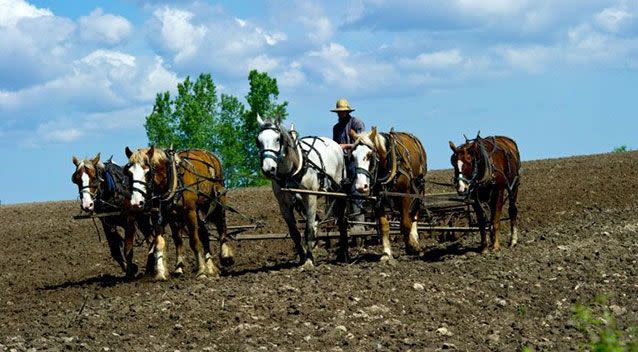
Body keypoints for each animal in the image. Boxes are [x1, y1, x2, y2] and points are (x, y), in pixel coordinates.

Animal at [125, 146, 235, 280]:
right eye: (129, 173)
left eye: (148, 172)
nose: (136, 202)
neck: (172, 180)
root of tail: (210, 154)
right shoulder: (160, 216)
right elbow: (161, 243)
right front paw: (162, 273)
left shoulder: (190, 212)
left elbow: (194, 241)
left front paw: (201, 272)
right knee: (203, 233)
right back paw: (210, 267)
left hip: (217, 200)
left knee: (221, 225)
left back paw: (225, 256)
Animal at [258, 115, 350, 266]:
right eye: (258, 141)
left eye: (277, 139)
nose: (268, 169)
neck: (293, 171)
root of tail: (335, 145)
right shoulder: (283, 204)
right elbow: (294, 232)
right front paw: (302, 257)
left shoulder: (310, 197)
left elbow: (309, 229)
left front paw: (309, 260)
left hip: (338, 190)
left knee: (341, 221)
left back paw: (344, 254)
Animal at [350, 128, 430, 262]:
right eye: (352, 156)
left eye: (369, 155)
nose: (361, 186)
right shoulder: (378, 198)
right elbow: (384, 225)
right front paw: (386, 253)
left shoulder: (404, 194)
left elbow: (405, 223)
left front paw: (410, 246)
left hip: (419, 186)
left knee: (415, 212)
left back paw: (414, 239)